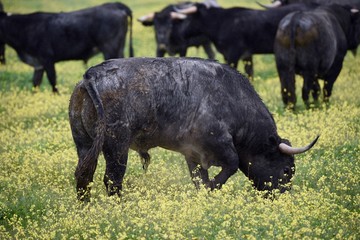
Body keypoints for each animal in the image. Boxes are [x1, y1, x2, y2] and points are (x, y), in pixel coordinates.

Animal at [0, 2, 134, 93]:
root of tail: (113, 4)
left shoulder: (47, 59)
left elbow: (52, 81)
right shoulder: (38, 64)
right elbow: (36, 83)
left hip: (110, 48)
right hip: (119, 48)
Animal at [69, 56, 320, 201]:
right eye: (287, 170)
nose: (281, 197)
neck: (232, 98)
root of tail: (91, 75)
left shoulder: (193, 153)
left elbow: (199, 177)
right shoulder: (218, 142)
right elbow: (232, 164)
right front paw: (213, 188)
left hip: (85, 145)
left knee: (84, 176)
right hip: (117, 148)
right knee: (112, 179)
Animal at [176, 2, 316, 79]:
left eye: (189, 18)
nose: (181, 33)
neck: (220, 23)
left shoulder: (233, 53)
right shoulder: (246, 55)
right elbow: (250, 73)